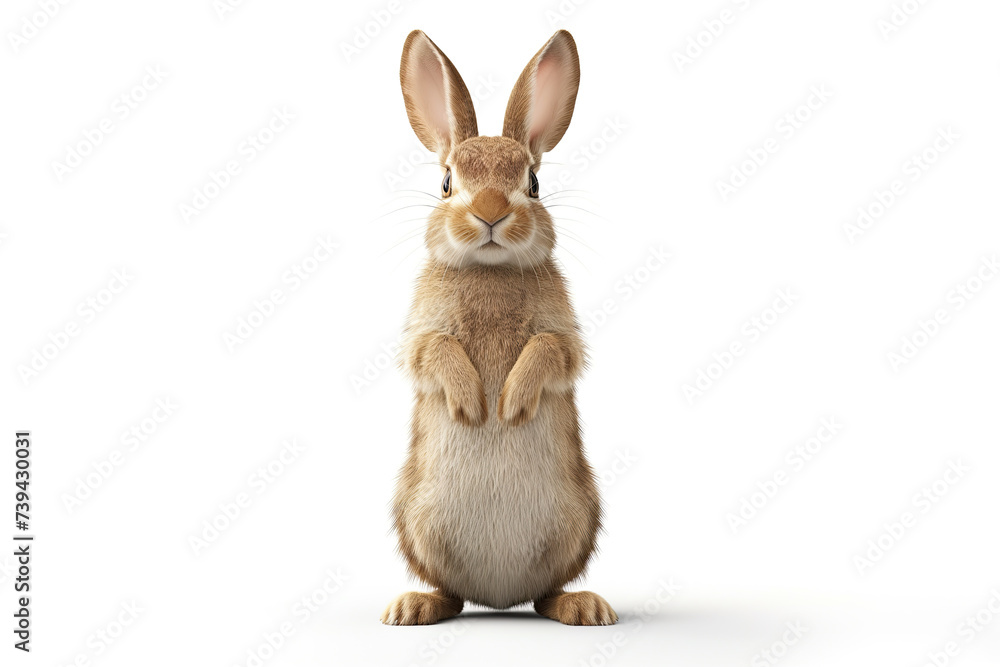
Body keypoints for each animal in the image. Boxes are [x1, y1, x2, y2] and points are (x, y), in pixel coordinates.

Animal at [381, 29, 616, 627]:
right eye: (446, 182)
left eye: (532, 182)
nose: (490, 212)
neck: (491, 269)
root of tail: (499, 597)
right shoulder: (422, 334)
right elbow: (434, 350)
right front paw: (473, 404)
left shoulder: (561, 335)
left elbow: (551, 350)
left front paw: (509, 404)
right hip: (414, 522)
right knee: (448, 589)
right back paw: (413, 606)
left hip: (581, 520)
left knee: (548, 590)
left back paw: (584, 606)